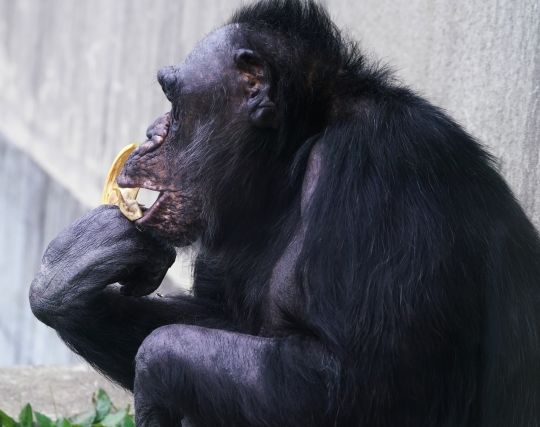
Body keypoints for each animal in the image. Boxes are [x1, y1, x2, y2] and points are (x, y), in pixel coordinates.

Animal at [28, 0, 540, 427]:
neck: (294, 154)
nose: (151, 131)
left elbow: (363, 385)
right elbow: (217, 319)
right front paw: (74, 268)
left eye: (172, 100)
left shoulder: (379, 168)